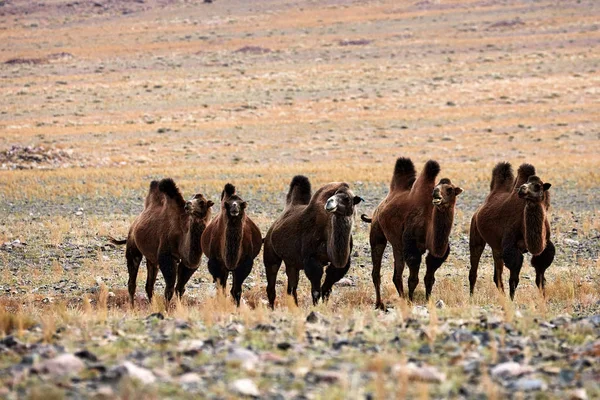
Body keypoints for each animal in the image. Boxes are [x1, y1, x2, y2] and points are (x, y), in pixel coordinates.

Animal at [109, 178, 214, 306]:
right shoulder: (167, 256)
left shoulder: (188, 263)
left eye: (202, 202)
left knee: (149, 284)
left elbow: (180, 288)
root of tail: (134, 224)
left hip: (152, 259)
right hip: (133, 247)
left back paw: (151, 304)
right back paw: (133, 306)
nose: (188, 204)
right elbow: (169, 289)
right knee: (132, 281)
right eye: (192, 197)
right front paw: (166, 308)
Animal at [262, 176, 360, 310]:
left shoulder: (340, 264)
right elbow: (316, 290)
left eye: (347, 199)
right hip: (270, 252)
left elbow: (326, 289)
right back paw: (272, 308)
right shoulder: (311, 259)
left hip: (292, 263)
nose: (329, 203)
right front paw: (316, 308)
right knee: (272, 282)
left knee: (291, 287)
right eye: (334, 195)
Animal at [358, 158, 462, 308]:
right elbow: (413, 279)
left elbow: (429, 278)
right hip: (377, 233)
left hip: (397, 244)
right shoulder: (412, 247)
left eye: (450, 189)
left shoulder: (436, 254)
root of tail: (378, 209)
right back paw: (380, 304)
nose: (436, 195)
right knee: (376, 271)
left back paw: (401, 298)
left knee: (397, 274)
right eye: (435, 188)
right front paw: (411, 301)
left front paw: (428, 300)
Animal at [468, 162, 552, 300]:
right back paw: (471, 297)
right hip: (475, 231)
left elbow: (541, 278)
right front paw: (512, 300)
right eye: (526, 183)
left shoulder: (544, 248)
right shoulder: (511, 247)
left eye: (537, 186)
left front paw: (543, 298)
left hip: (496, 247)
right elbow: (514, 279)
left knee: (497, 274)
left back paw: (502, 297)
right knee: (474, 268)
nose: (522, 189)